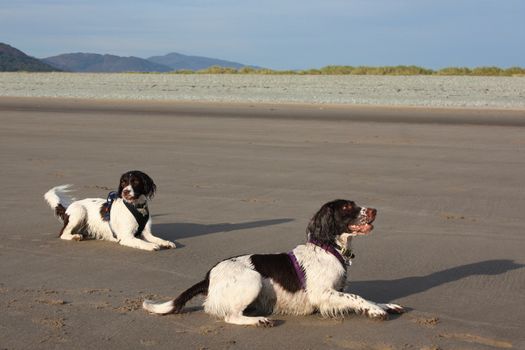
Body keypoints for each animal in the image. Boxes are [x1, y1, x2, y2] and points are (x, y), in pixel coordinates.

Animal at [44, 170, 175, 250]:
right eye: (123, 182)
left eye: (136, 182)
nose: (125, 192)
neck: (136, 207)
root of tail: (68, 207)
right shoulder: (126, 237)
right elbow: (141, 242)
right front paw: (151, 246)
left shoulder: (146, 233)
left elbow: (157, 239)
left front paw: (166, 242)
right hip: (80, 211)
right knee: (62, 234)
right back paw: (75, 237)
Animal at [141, 200, 404, 326]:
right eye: (348, 206)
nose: (375, 210)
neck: (329, 248)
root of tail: (209, 275)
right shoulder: (323, 293)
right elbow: (357, 297)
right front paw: (376, 310)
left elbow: (364, 296)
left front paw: (385, 305)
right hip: (253, 278)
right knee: (231, 316)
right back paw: (259, 320)